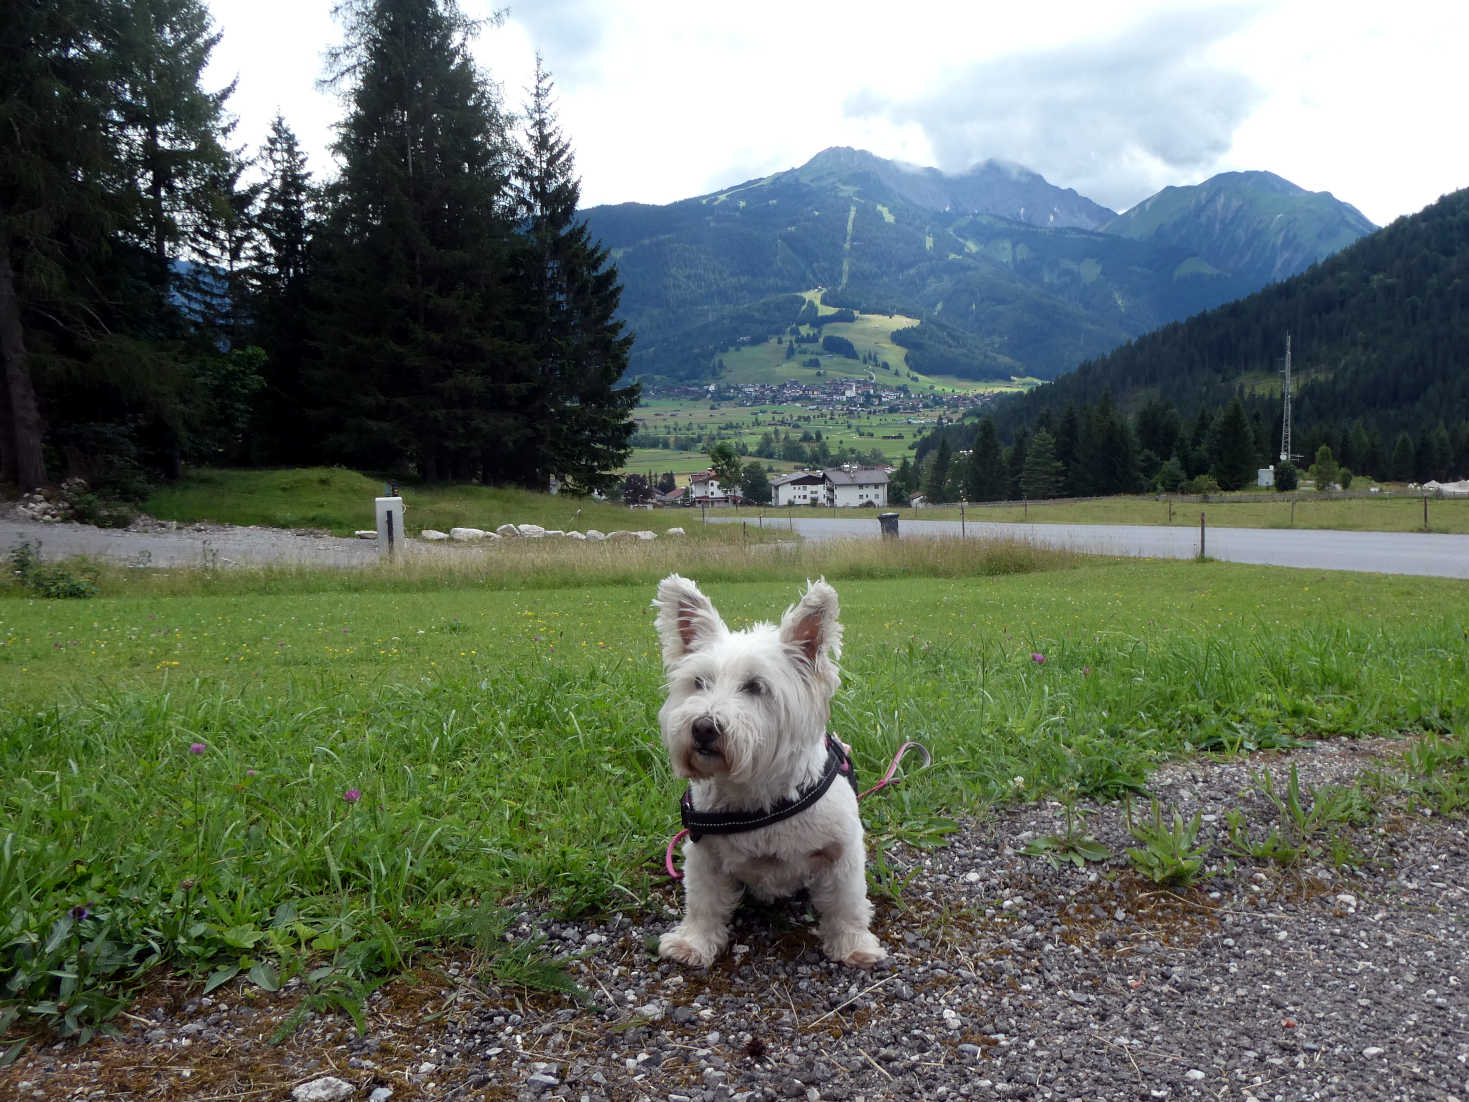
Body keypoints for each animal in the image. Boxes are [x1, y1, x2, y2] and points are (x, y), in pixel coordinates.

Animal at [655, 573, 881, 969]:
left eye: (755, 687)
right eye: (698, 682)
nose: (703, 727)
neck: (755, 792)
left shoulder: (842, 852)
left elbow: (847, 902)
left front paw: (855, 945)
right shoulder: (703, 854)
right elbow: (703, 902)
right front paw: (693, 942)